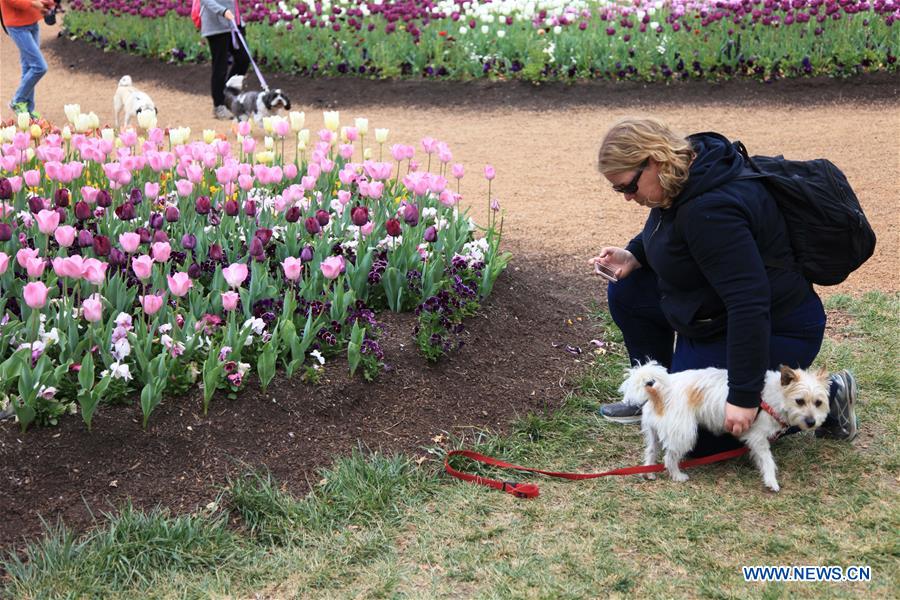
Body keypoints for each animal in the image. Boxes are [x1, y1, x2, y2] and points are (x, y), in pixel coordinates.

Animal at [620, 360, 828, 492]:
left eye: (818, 403)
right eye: (799, 401)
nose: (812, 422)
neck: (775, 396)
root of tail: (658, 391)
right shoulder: (757, 437)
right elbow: (768, 459)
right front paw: (771, 481)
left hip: (654, 434)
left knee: (651, 451)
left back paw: (649, 472)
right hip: (684, 434)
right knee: (669, 458)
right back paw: (677, 475)